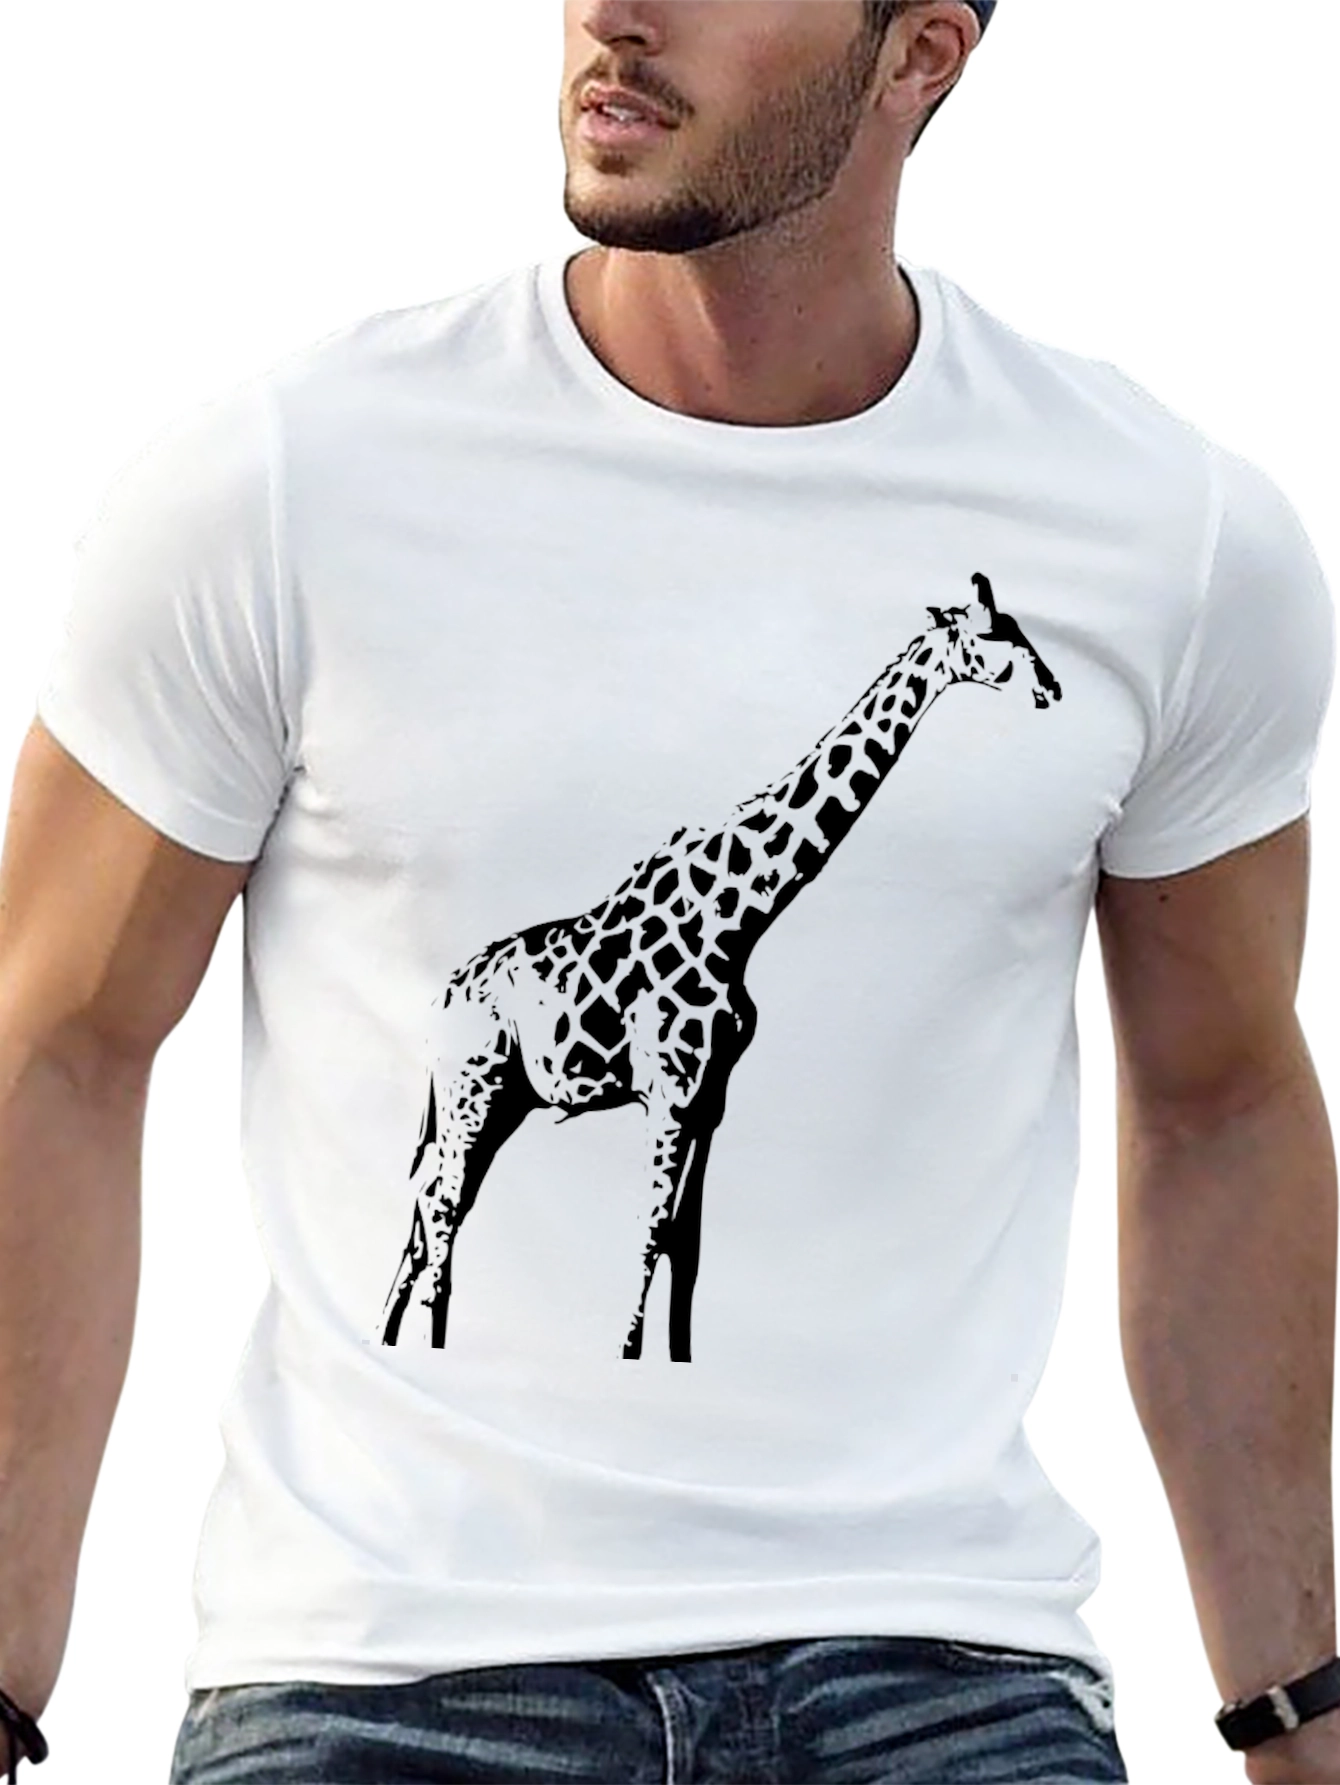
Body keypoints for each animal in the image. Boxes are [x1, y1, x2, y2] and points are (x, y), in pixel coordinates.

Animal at [379, 573, 1062, 1359]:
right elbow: (649, 1233)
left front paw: (676, 1358)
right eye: (997, 633)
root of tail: (438, 1006)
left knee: (427, 1209)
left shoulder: (712, 1098)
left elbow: (689, 1245)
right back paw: (429, 1343)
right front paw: (627, 1354)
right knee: (442, 1207)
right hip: (475, 1089)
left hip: (503, 1099)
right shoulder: (670, 1093)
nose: (1052, 687)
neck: (740, 919)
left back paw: (391, 1337)